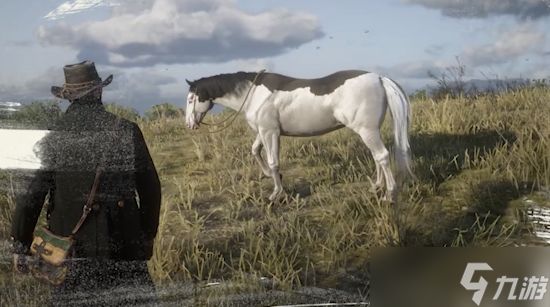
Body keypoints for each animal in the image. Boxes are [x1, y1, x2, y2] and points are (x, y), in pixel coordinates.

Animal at [185, 70, 414, 203]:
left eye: (190, 99)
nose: (189, 124)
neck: (254, 94)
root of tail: (379, 78)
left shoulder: (270, 132)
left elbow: (273, 161)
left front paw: (276, 193)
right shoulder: (264, 131)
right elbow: (255, 151)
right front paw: (270, 176)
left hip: (367, 130)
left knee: (382, 156)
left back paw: (389, 194)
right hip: (368, 130)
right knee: (377, 157)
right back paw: (377, 186)